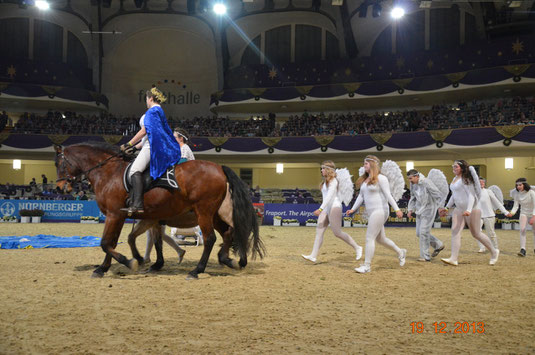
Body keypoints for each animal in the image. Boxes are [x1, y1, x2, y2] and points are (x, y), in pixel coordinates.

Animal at [54, 143, 264, 280]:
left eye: (59, 164)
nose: (60, 188)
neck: (107, 172)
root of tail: (219, 168)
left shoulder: (115, 215)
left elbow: (106, 243)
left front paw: (130, 262)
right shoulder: (126, 217)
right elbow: (116, 242)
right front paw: (105, 268)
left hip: (205, 212)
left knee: (213, 237)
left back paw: (198, 270)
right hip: (213, 214)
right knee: (229, 233)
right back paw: (228, 260)